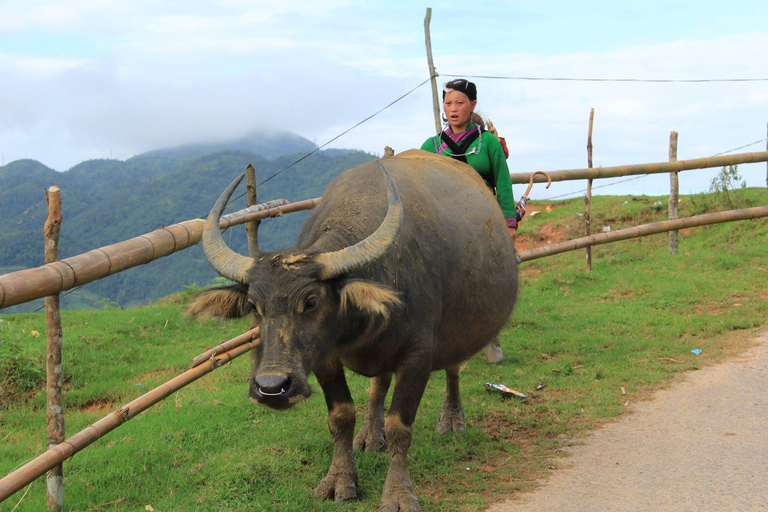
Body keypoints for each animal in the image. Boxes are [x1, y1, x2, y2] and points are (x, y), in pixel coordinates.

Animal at [189, 149, 520, 512]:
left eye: (311, 301)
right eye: (252, 306)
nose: (271, 387)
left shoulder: (418, 354)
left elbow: (400, 425)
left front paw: (398, 494)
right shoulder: (324, 358)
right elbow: (341, 416)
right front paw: (340, 480)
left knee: (453, 369)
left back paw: (451, 419)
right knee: (378, 385)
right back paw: (370, 434)